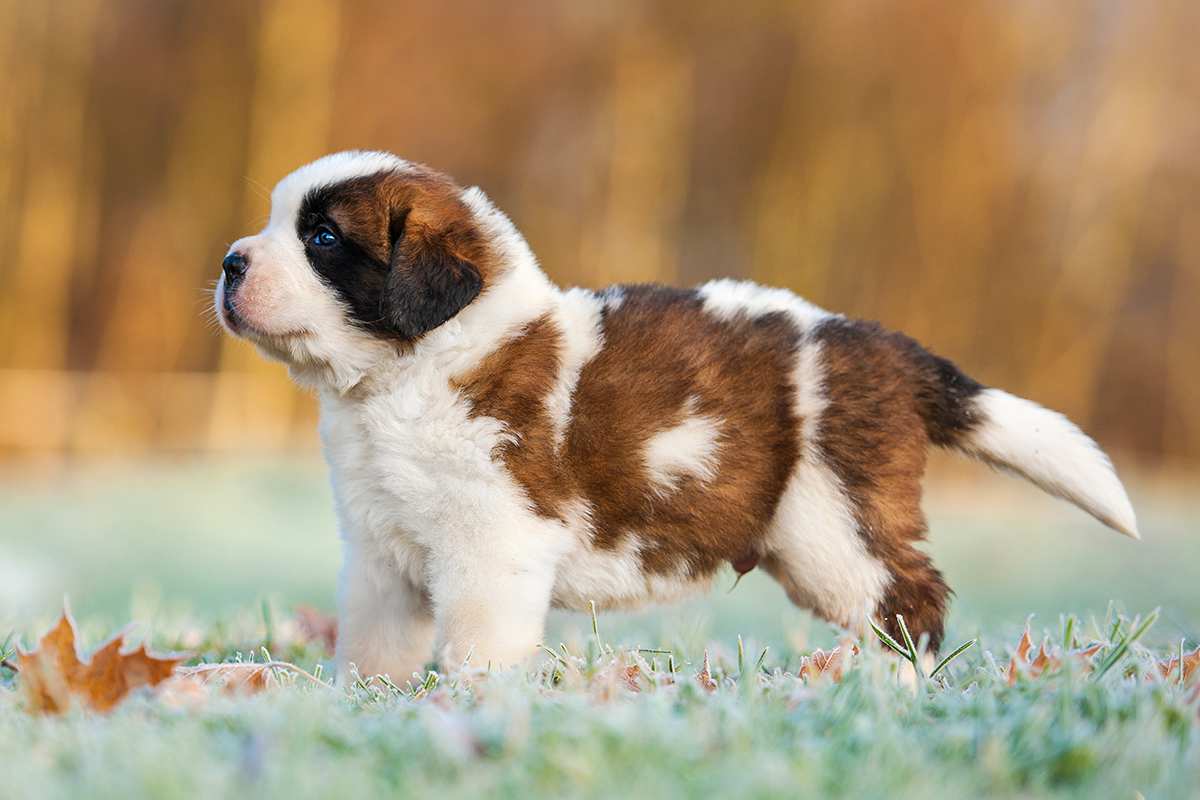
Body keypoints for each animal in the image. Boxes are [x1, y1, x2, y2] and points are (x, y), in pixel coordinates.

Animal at [211, 151, 1137, 681]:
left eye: (324, 240)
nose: (229, 262)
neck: (409, 372)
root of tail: (890, 350)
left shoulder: (493, 543)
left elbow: (479, 645)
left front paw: (475, 712)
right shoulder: (380, 552)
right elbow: (375, 641)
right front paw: (366, 706)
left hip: (832, 523)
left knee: (911, 601)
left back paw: (889, 691)